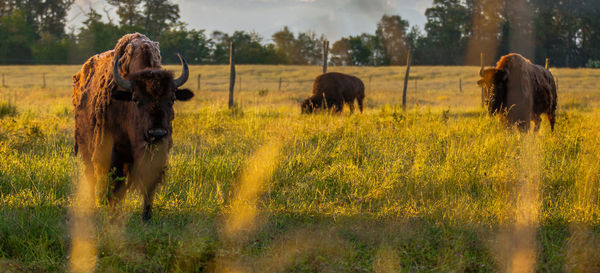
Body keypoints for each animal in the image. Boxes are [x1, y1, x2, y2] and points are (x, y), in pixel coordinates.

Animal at [72, 33, 195, 220]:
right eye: (136, 99)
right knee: (92, 176)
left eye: (172, 99)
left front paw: (146, 216)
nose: (157, 133)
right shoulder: (114, 151)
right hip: (87, 148)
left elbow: (149, 183)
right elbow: (114, 181)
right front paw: (112, 212)